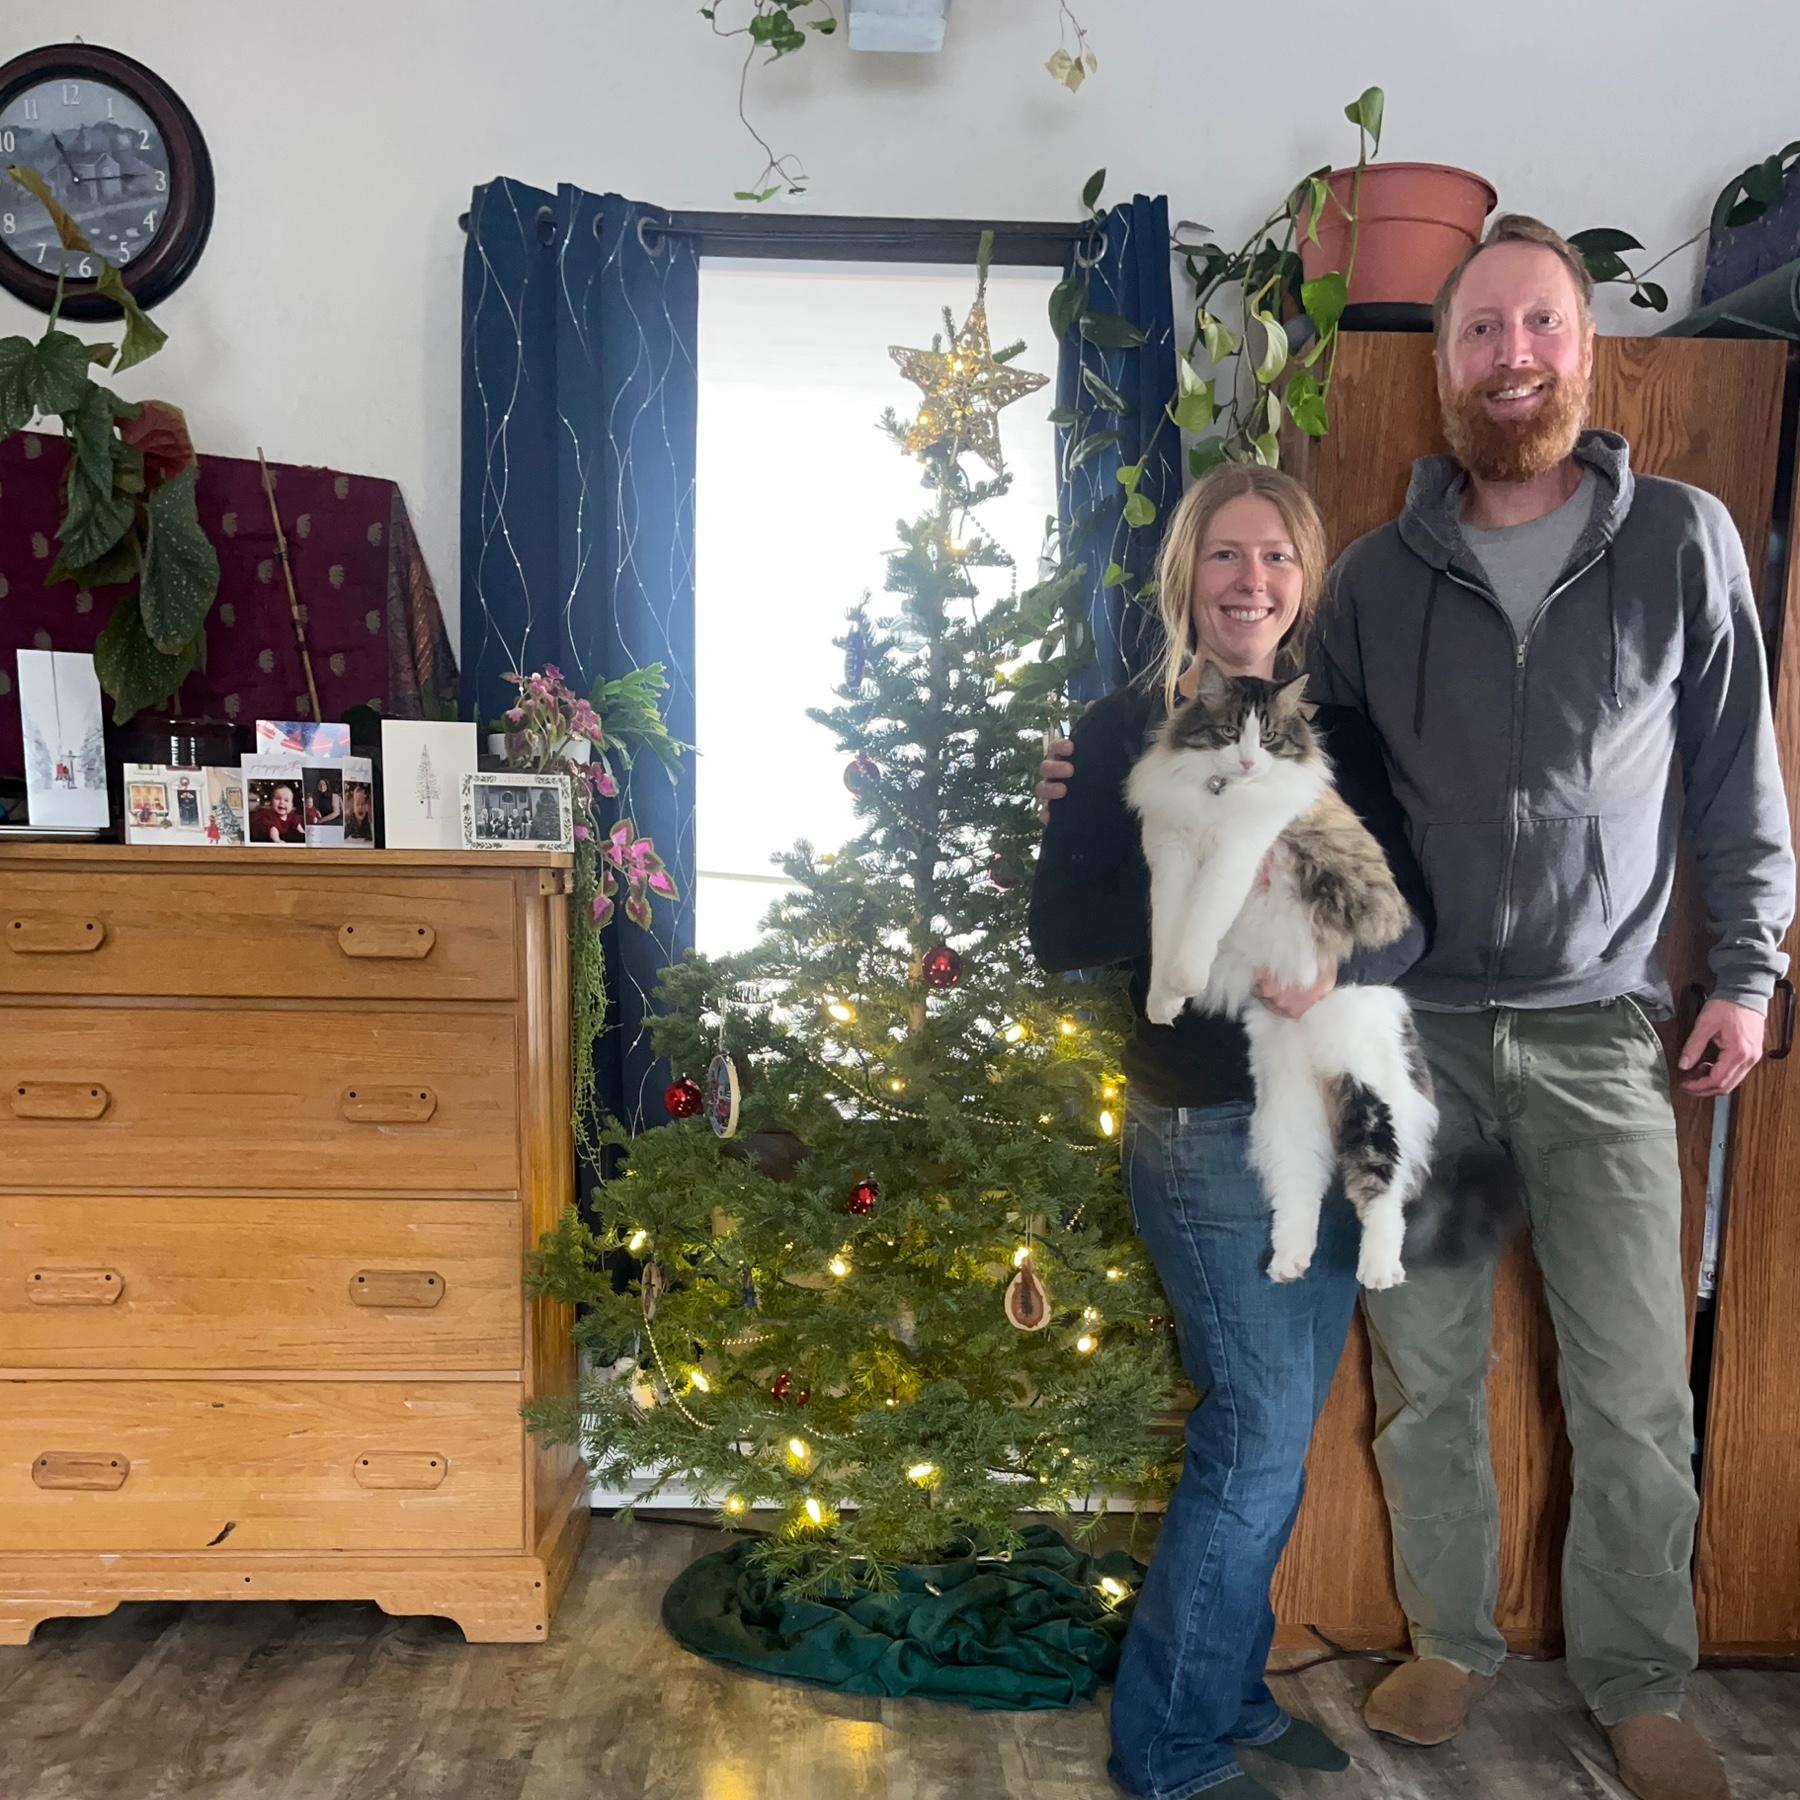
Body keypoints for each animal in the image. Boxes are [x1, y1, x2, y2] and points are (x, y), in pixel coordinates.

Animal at [1126, 664, 1439, 1290]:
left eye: (1268, 738)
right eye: (1229, 732)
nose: (1250, 762)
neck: (1218, 790)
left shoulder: (1235, 856)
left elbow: (1199, 928)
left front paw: (1184, 982)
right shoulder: (1171, 857)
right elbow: (1165, 930)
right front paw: (1163, 1002)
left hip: (1369, 1092)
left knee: (1383, 1193)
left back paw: (1377, 1269)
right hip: (1285, 1117)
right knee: (1302, 1195)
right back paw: (1287, 1263)